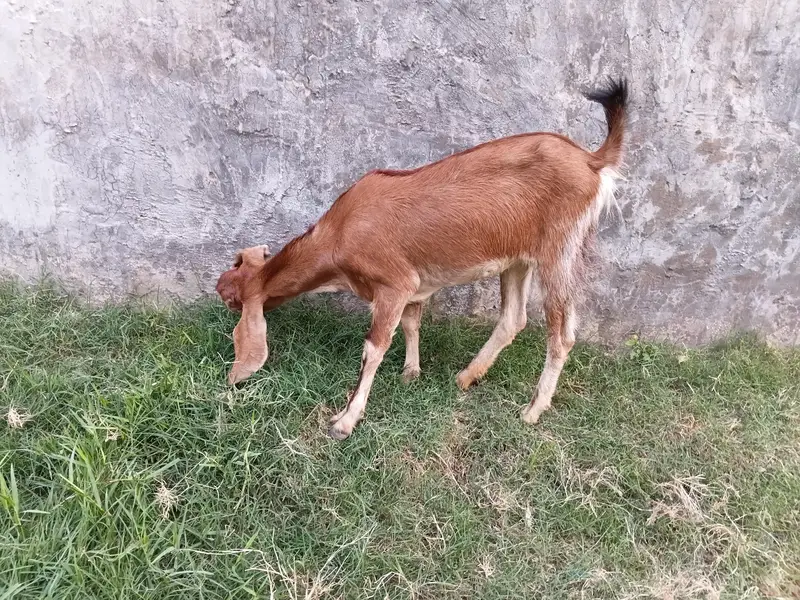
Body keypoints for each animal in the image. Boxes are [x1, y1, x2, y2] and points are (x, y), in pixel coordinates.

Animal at [216, 78, 629, 440]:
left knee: (561, 333)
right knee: (513, 318)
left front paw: (345, 420)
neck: (338, 234)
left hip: (560, 251)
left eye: (232, 298)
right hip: (518, 260)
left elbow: (374, 347)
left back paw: (532, 409)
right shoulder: (414, 286)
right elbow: (413, 324)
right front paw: (411, 372)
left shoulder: (394, 284)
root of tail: (592, 161)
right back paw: (467, 376)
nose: (218, 286)